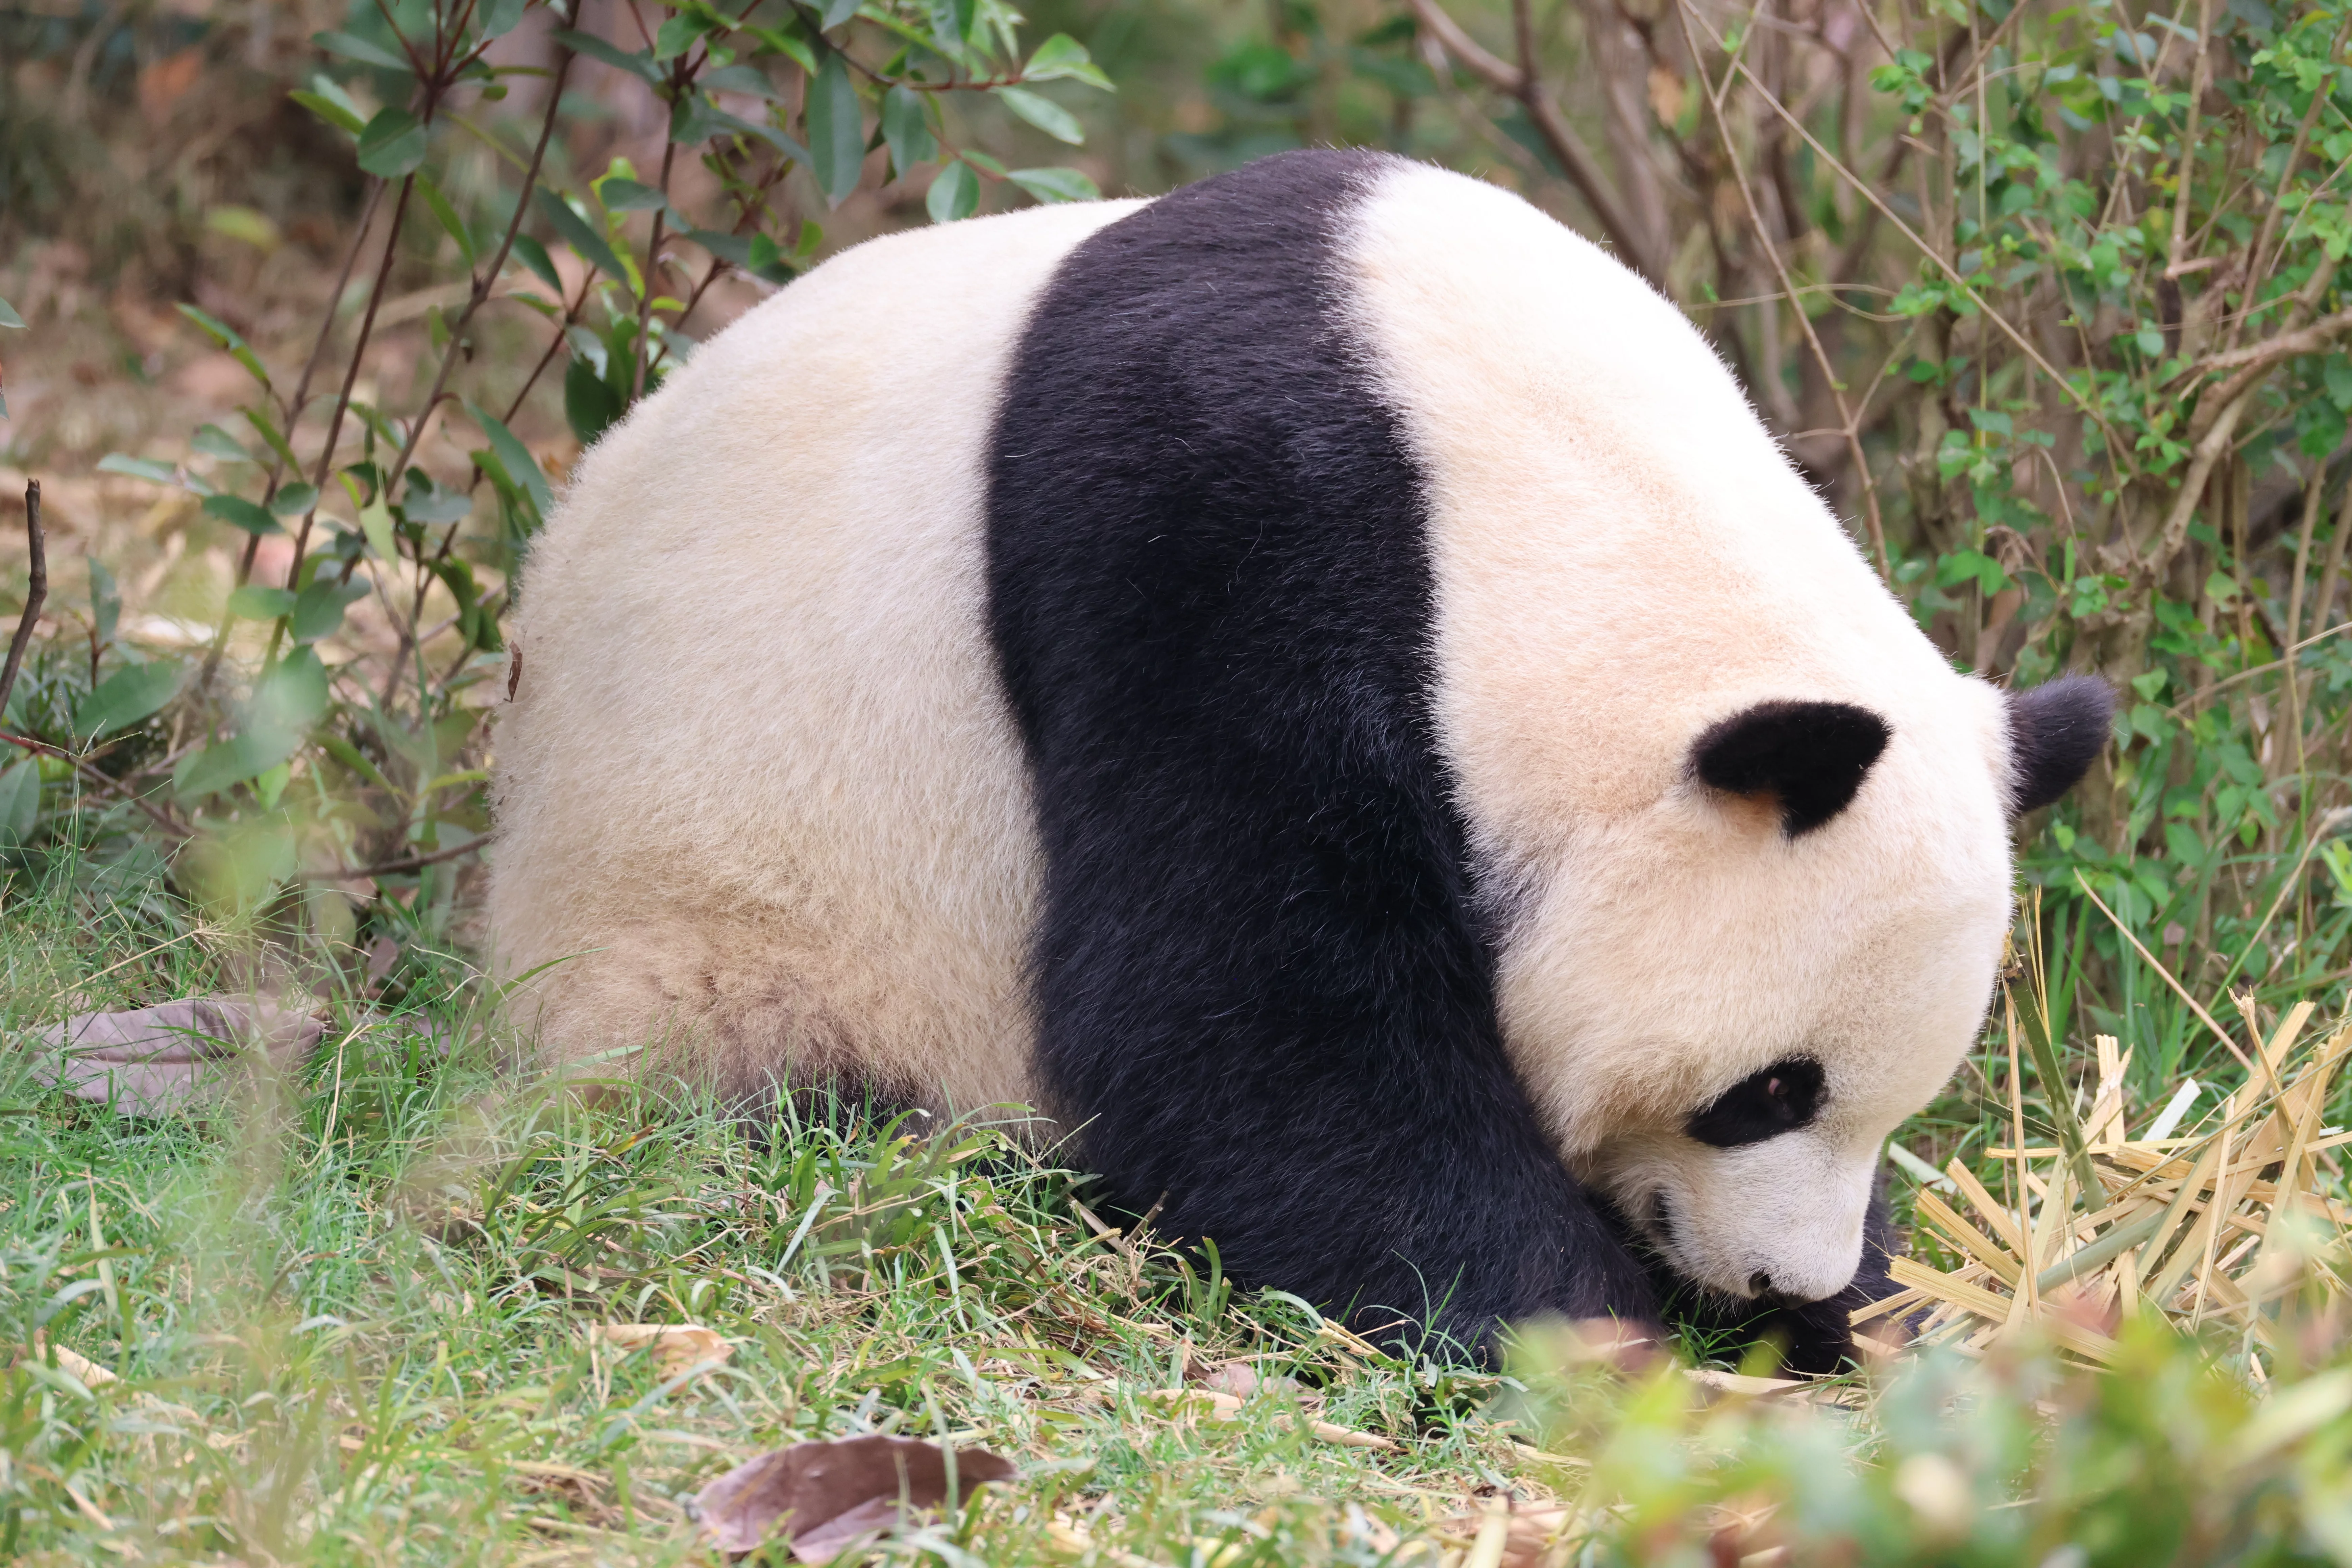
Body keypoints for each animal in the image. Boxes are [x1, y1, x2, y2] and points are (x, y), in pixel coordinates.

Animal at [489, 149, 2111, 1370]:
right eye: (1763, 1089)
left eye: (1891, 1099)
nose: (1780, 1280)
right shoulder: (1213, 526)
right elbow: (1242, 1007)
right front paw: (1575, 1329)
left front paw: (1878, 1314)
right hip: (725, 918)